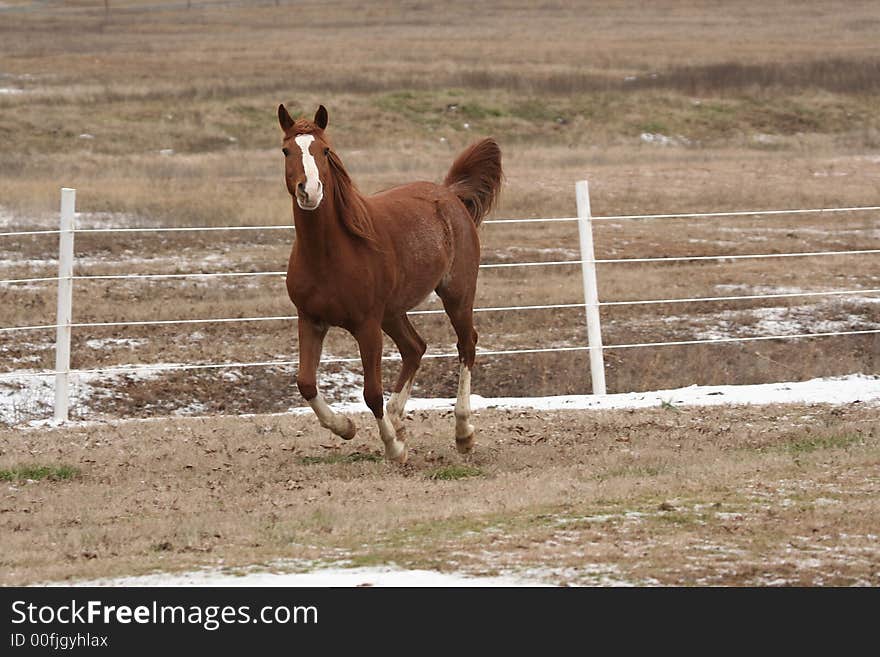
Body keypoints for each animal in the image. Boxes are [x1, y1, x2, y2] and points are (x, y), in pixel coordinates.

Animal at [278, 104, 498, 462]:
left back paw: (463, 432)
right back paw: (398, 420)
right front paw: (346, 428)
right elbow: (306, 382)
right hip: (393, 312)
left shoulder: (366, 325)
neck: (329, 254)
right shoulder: (310, 319)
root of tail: (449, 194)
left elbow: (371, 393)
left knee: (466, 345)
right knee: (415, 348)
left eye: (324, 151)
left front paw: (393, 447)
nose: (309, 191)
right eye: (286, 150)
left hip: (457, 294)